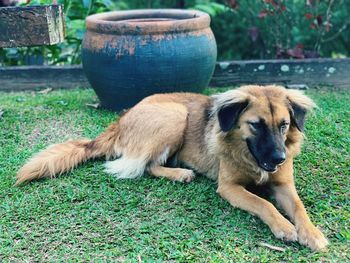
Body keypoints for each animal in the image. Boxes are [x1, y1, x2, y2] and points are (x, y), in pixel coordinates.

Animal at [15, 86, 328, 252]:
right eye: (256, 125)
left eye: (284, 125)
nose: (279, 158)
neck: (248, 155)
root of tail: (122, 118)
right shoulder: (229, 187)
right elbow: (263, 203)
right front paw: (283, 226)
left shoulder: (284, 184)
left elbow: (298, 207)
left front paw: (311, 233)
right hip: (175, 116)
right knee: (143, 166)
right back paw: (179, 173)